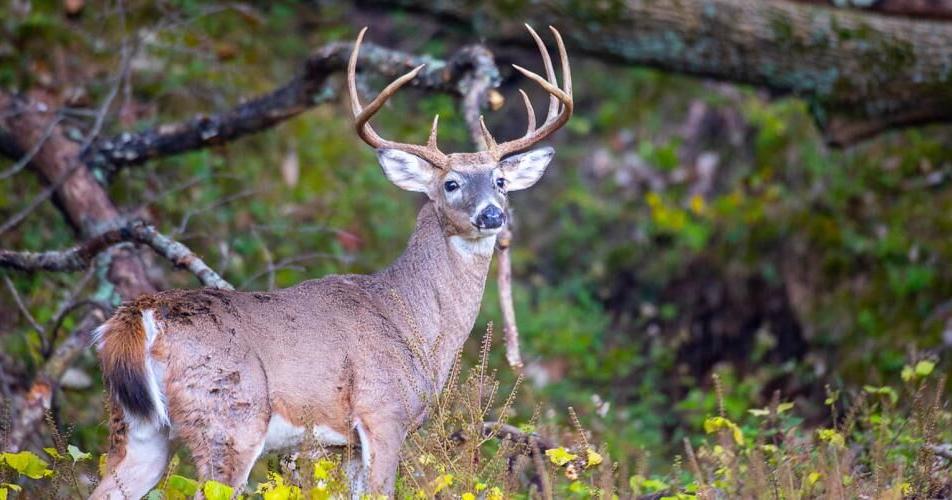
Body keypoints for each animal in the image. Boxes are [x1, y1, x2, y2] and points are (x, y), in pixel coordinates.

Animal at [89, 24, 571, 499]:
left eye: (501, 180)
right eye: (451, 184)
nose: (492, 214)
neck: (414, 319)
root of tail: (140, 315)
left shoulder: (346, 443)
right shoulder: (383, 411)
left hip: (139, 428)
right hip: (229, 416)